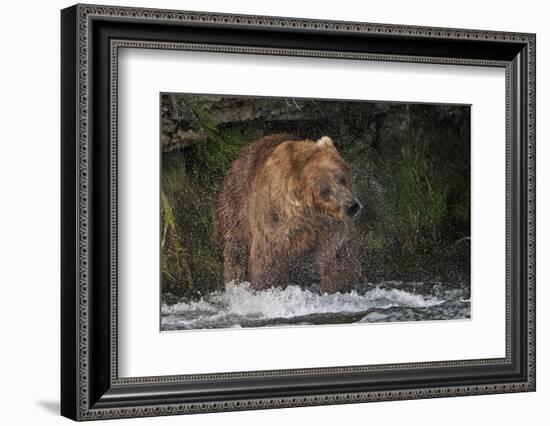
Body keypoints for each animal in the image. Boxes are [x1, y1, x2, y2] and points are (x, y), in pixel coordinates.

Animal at [218, 133, 364, 292]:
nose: (352, 206)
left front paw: (337, 287)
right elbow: (269, 260)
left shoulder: (330, 225)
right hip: (237, 203)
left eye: (342, 179)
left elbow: (337, 256)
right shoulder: (274, 222)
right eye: (324, 190)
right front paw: (269, 286)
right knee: (235, 249)